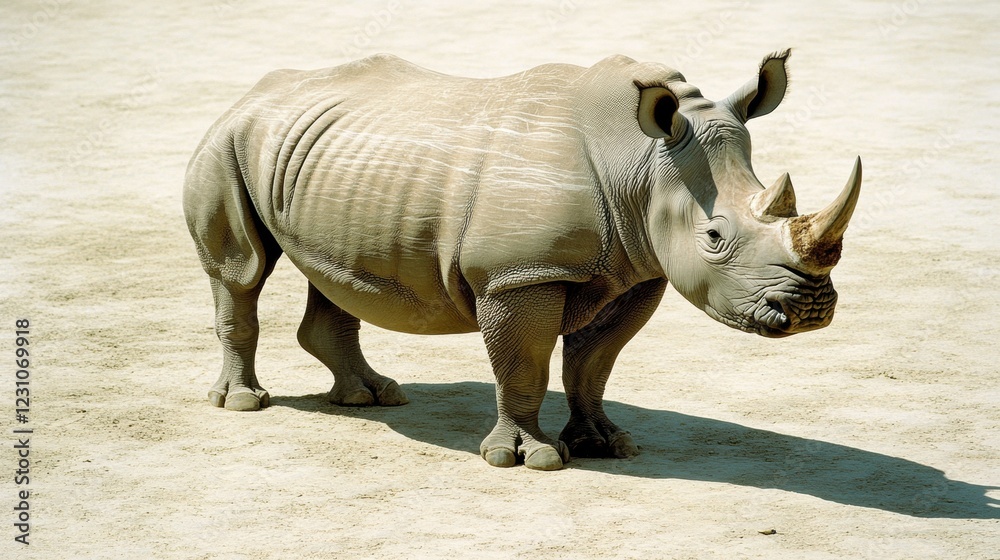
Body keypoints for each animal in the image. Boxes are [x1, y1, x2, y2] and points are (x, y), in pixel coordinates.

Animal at [184, 50, 861, 470]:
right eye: (715, 237)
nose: (810, 311)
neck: (638, 162)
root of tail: (251, 93)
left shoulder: (633, 271)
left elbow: (593, 365)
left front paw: (605, 443)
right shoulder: (519, 275)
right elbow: (524, 364)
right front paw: (526, 459)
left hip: (325, 162)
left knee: (331, 273)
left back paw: (372, 397)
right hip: (225, 142)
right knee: (241, 270)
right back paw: (243, 402)